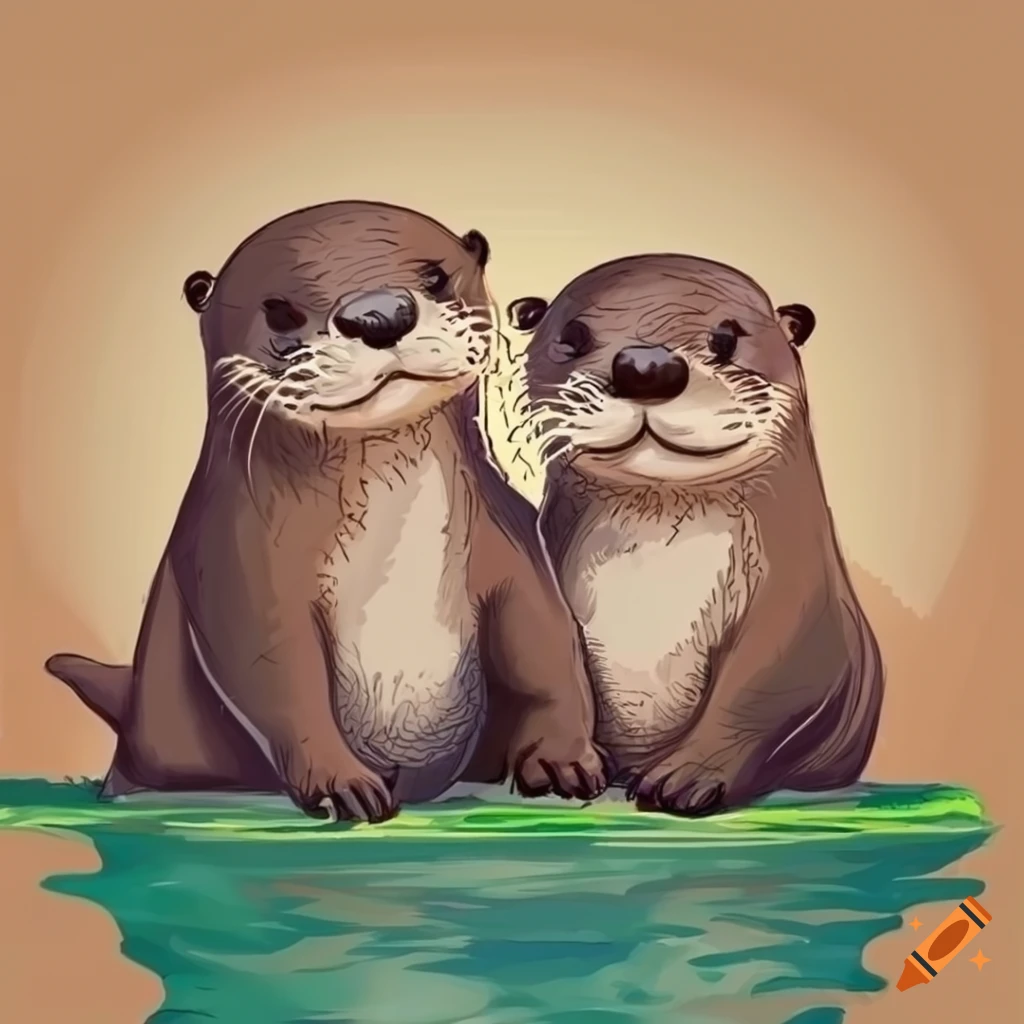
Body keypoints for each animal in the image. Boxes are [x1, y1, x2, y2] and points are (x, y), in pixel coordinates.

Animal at [46, 201, 606, 823]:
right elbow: (281, 677)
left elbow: (546, 644)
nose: (380, 313)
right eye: (280, 311)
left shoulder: (505, 539)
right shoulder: (236, 563)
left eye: (436, 276)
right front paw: (342, 783)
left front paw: (561, 759)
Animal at [508, 254, 883, 817]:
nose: (645, 366)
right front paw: (560, 760)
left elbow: (760, 690)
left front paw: (687, 775)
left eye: (726, 338)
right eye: (572, 336)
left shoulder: (802, 606)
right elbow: (550, 659)